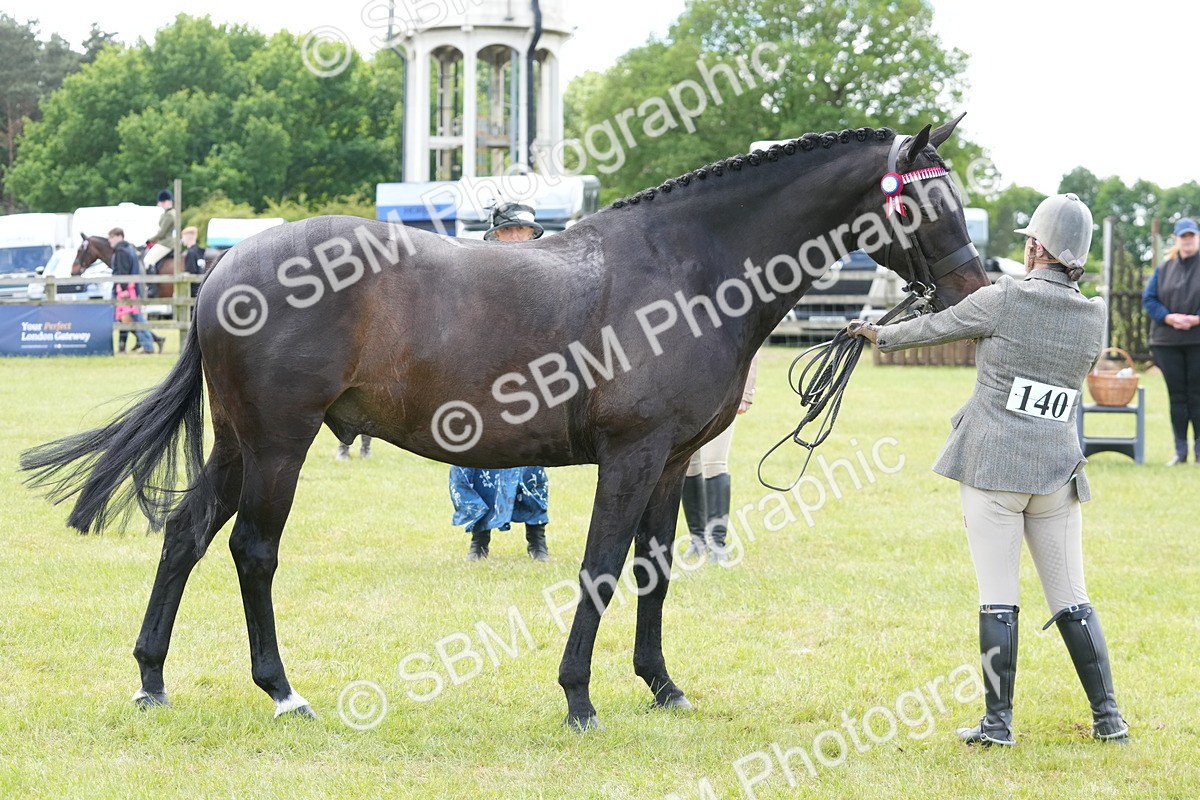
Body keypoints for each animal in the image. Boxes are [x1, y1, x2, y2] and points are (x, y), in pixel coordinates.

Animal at [22, 118, 991, 731]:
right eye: (922, 202)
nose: (975, 291)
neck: (686, 268)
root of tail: (224, 270)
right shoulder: (629, 457)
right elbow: (602, 570)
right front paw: (579, 698)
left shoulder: (673, 460)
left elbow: (655, 571)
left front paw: (661, 685)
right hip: (277, 446)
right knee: (251, 553)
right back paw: (282, 692)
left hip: (237, 442)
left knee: (184, 535)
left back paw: (152, 680)